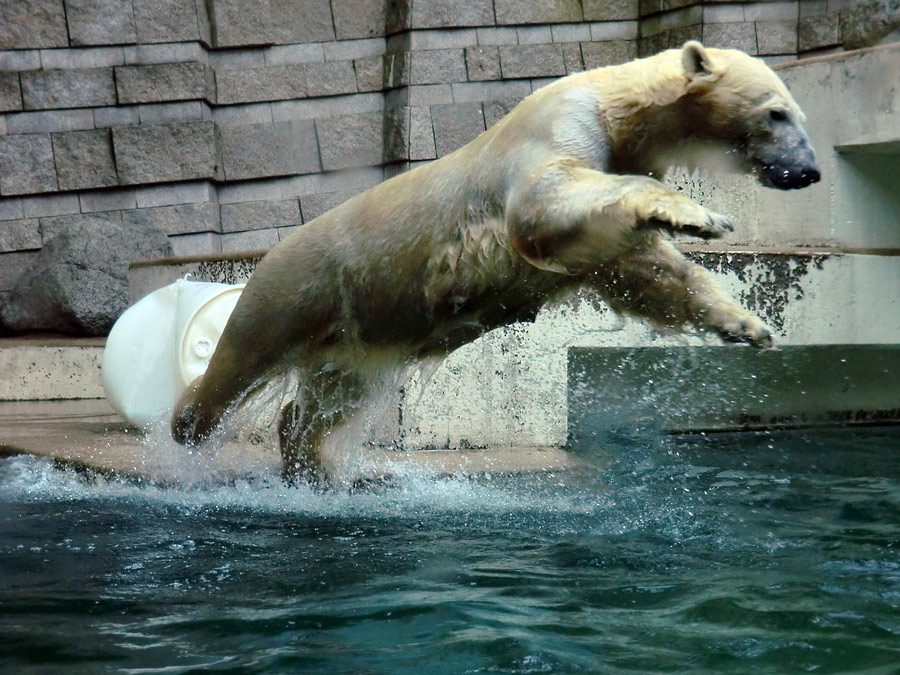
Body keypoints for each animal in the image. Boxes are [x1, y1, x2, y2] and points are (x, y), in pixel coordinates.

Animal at [171, 41, 824, 480]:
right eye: (776, 112)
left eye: (798, 114)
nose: (809, 172)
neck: (617, 108)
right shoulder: (561, 130)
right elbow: (541, 204)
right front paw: (698, 216)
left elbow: (644, 271)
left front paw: (747, 325)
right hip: (298, 286)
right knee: (238, 361)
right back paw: (187, 429)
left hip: (360, 326)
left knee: (332, 396)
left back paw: (315, 468)